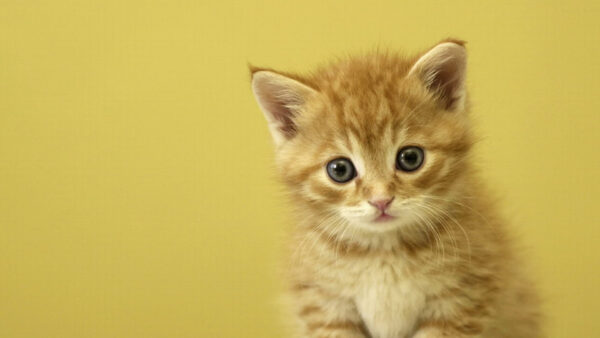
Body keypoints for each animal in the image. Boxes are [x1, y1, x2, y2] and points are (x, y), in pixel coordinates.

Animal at [251, 40, 540, 338]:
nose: (381, 200)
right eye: (340, 170)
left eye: (410, 158)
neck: (384, 251)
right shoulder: (323, 305)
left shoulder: (463, 299)